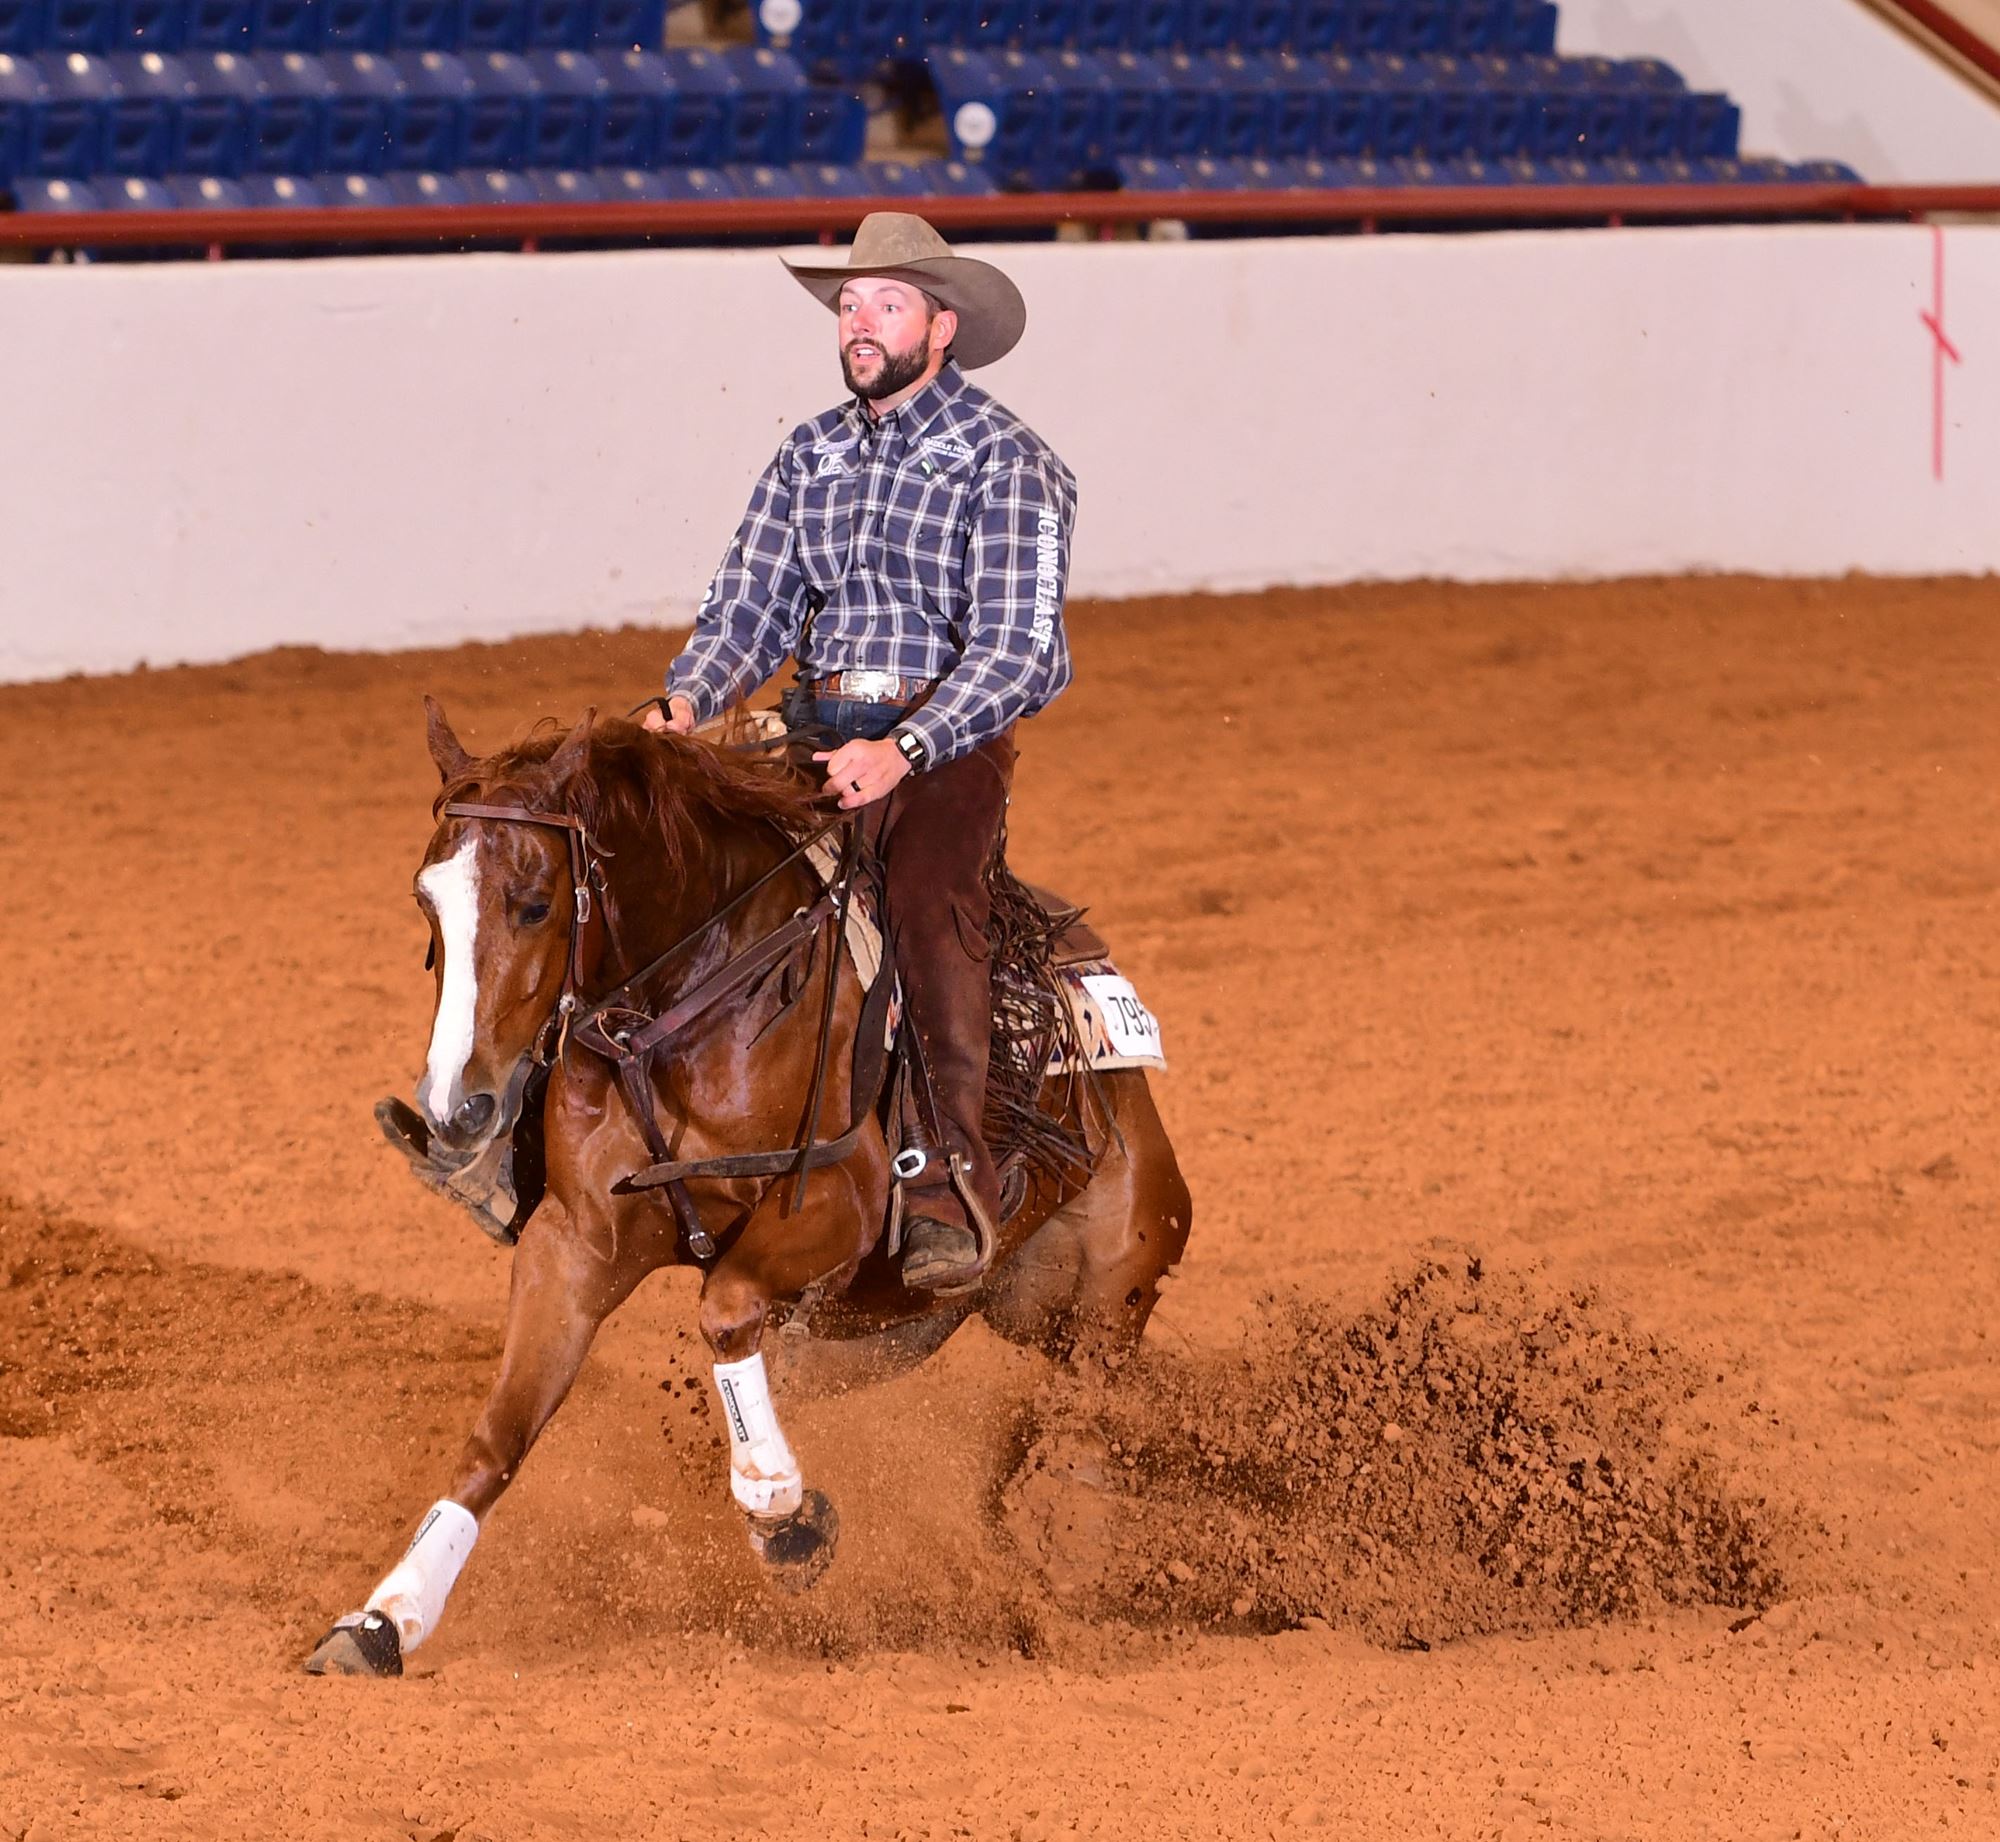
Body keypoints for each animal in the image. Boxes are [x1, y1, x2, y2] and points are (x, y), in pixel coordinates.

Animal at [300, 704, 1184, 1680]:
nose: (457, 1109)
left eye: (533, 903)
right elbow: (496, 1437)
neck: (688, 1005)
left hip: (1105, 1295)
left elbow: (724, 1309)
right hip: (901, 1327)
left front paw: (785, 1516)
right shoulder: (573, 1241)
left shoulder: (836, 1201)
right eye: (428, 903)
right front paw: (383, 1619)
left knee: (1087, 1424)